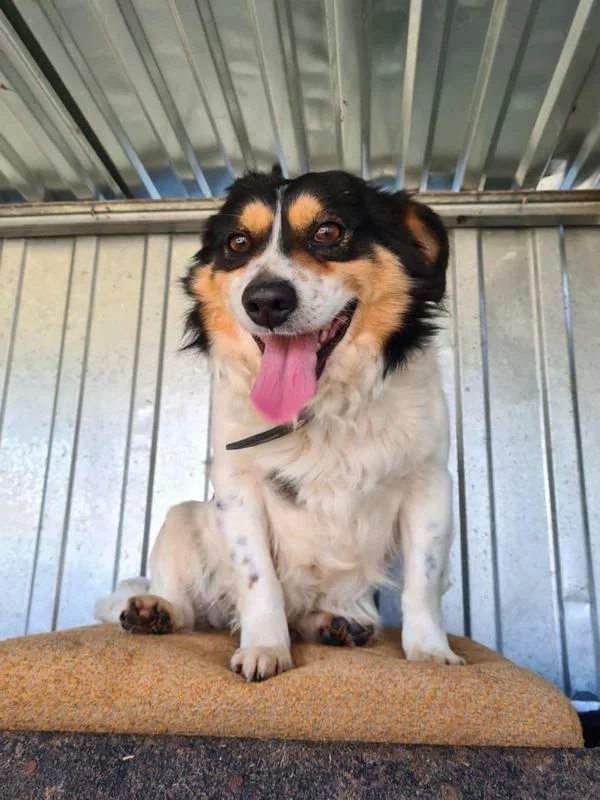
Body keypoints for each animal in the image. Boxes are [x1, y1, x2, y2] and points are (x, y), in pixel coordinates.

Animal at [95, 167, 465, 681]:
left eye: (328, 231)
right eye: (237, 242)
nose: (266, 301)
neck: (320, 408)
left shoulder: (429, 483)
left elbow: (423, 582)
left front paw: (431, 652)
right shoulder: (237, 487)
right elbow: (258, 581)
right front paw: (264, 649)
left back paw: (334, 624)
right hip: (180, 518)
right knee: (191, 608)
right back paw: (154, 610)